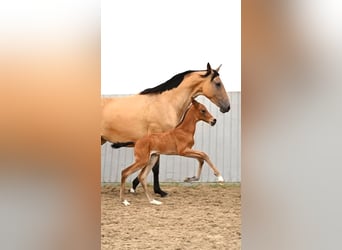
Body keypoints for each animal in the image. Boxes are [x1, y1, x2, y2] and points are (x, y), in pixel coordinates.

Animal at [101, 62, 230, 195]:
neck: (167, 103)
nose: (227, 107)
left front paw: (134, 186)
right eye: (218, 83)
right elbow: (155, 168)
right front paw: (159, 191)